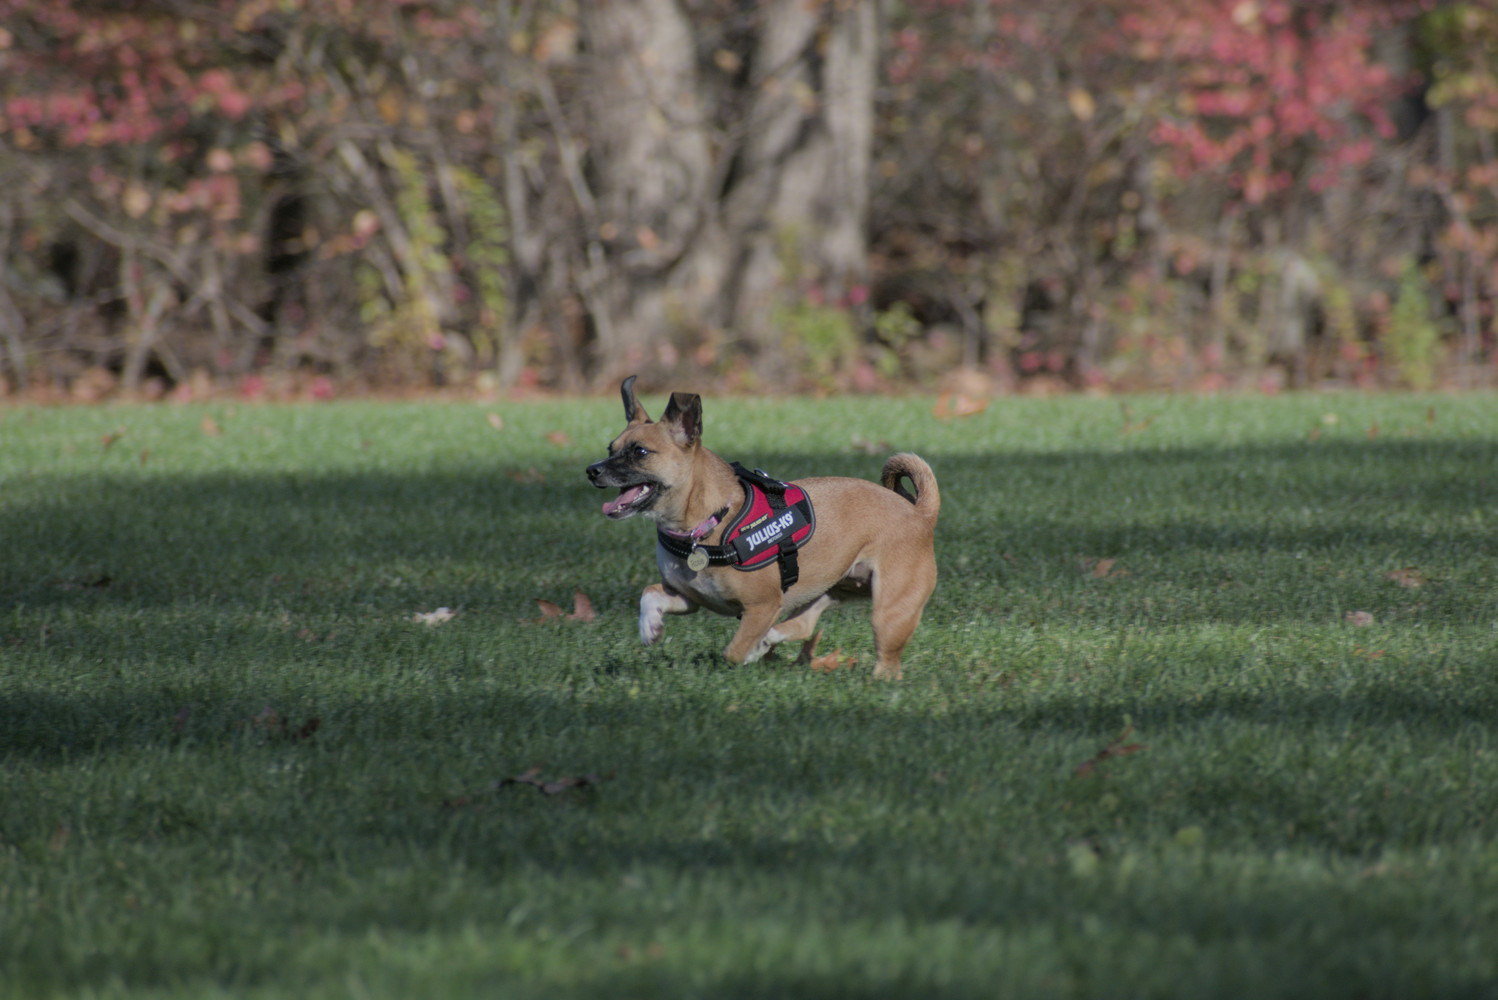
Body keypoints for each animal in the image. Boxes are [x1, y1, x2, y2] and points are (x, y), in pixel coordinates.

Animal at [586, 376, 939, 680]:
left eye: (640, 452)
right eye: (609, 449)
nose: (592, 470)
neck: (712, 522)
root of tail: (920, 513)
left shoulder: (762, 606)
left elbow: (733, 652)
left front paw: (743, 657)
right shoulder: (689, 598)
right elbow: (649, 594)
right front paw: (650, 627)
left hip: (890, 612)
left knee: (888, 665)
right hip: (827, 590)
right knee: (802, 626)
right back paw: (769, 640)